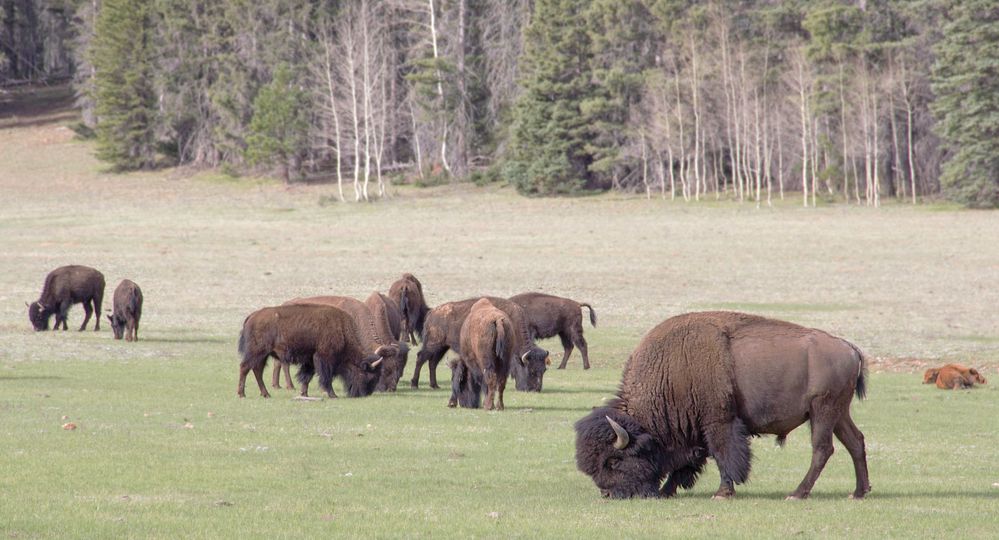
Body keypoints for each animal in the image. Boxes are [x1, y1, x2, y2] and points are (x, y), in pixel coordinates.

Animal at [236, 306, 392, 398]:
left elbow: (307, 377)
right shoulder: (324, 358)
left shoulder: (310, 360)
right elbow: (326, 377)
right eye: (369, 375)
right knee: (245, 367)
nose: (364, 394)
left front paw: (304, 394)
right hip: (257, 352)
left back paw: (266, 394)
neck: (341, 330)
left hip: (263, 355)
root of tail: (252, 316)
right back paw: (242, 394)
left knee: (256, 370)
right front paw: (333, 395)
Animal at [414, 296, 556, 392]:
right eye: (530, 370)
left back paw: (434, 385)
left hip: (442, 347)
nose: (535, 390)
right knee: (421, 358)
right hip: (432, 344)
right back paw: (414, 384)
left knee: (432, 363)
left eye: (544, 370)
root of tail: (432, 312)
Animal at [576, 312, 872, 502]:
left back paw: (797, 494)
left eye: (613, 460)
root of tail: (849, 348)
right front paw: (667, 490)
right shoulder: (695, 432)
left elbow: (723, 455)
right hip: (839, 413)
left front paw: (721, 493)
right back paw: (858, 492)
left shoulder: (718, 422)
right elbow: (689, 463)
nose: (607, 494)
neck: (671, 371)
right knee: (855, 442)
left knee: (822, 449)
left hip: (822, 411)